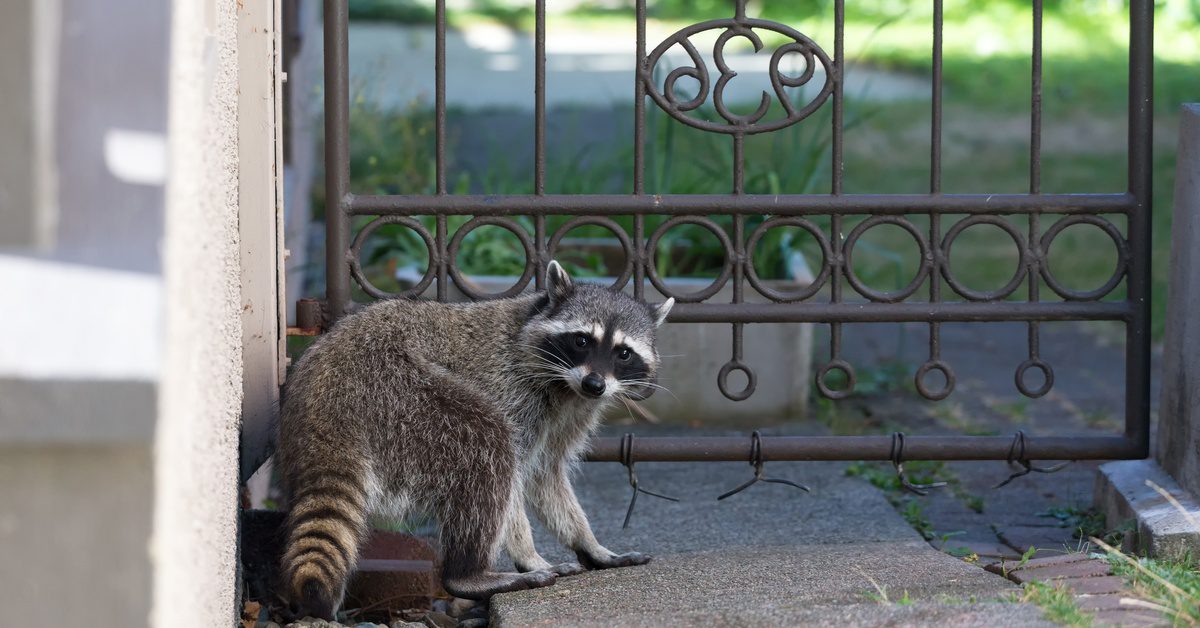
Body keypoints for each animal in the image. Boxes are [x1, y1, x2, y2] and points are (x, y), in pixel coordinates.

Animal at [276, 261, 673, 619]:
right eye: (581, 340)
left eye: (624, 352)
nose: (595, 384)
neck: (564, 384)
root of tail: (325, 397)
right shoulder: (511, 389)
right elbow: (514, 480)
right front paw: (529, 556)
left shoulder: (569, 415)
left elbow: (547, 477)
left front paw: (590, 544)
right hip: (399, 393)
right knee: (487, 443)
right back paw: (469, 574)